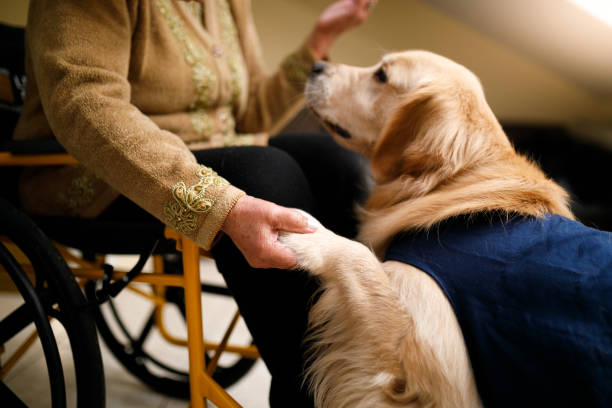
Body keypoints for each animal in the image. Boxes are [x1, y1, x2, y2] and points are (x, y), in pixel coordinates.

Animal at [280, 51, 592, 408]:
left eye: (382, 76)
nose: (316, 65)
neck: (452, 181)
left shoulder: (448, 375)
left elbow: (359, 256)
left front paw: (309, 235)